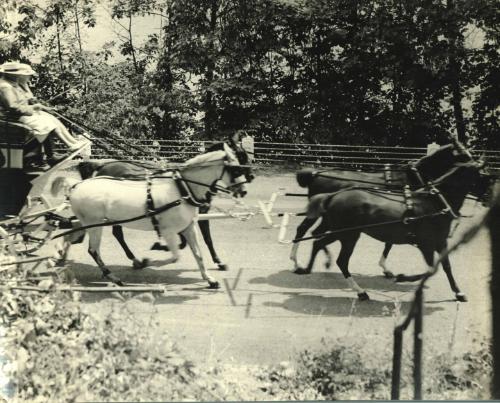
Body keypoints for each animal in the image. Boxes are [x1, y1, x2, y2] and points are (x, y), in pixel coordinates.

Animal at [50, 144, 250, 288]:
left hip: (91, 223)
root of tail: (75, 185)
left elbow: (198, 254)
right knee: (93, 250)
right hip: (94, 224)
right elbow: (175, 256)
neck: (182, 189)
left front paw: (210, 279)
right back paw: (114, 276)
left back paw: (62, 255)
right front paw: (149, 259)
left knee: (77, 234)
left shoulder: (188, 227)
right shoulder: (169, 231)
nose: (244, 190)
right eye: (236, 169)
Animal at [290, 140, 472, 276]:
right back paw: (297, 262)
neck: (410, 176)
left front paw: (385, 267)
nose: (473, 164)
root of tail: (316, 173)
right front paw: (385, 267)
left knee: (314, 232)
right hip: (322, 216)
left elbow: (389, 242)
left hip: (327, 218)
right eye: (464, 154)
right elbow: (389, 243)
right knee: (303, 230)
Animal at [296, 156, 488, 302]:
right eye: (485, 177)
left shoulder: (440, 241)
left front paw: (458, 292)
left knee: (318, 241)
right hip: (348, 234)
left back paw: (308, 267)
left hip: (342, 233)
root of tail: (333, 196)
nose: (488, 198)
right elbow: (431, 269)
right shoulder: (426, 244)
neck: (434, 201)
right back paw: (360, 291)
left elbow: (446, 266)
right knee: (337, 257)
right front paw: (402, 277)